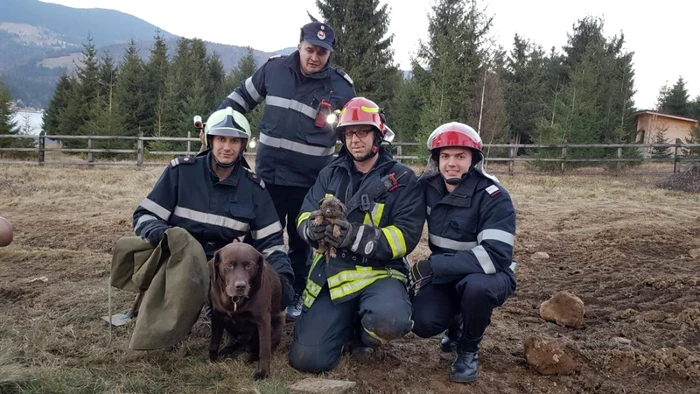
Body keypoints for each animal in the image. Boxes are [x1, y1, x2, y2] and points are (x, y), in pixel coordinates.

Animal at [208, 242, 284, 380]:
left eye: (249, 265)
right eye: (229, 264)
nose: (240, 286)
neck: (235, 300)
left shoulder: (263, 320)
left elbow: (264, 350)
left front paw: (263, 373)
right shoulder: (217, 317)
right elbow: (214, 343)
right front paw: (212, 361)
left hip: (278, 322)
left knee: (262, 347)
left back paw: (252, 357)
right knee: (238, 342)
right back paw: (227, 350)